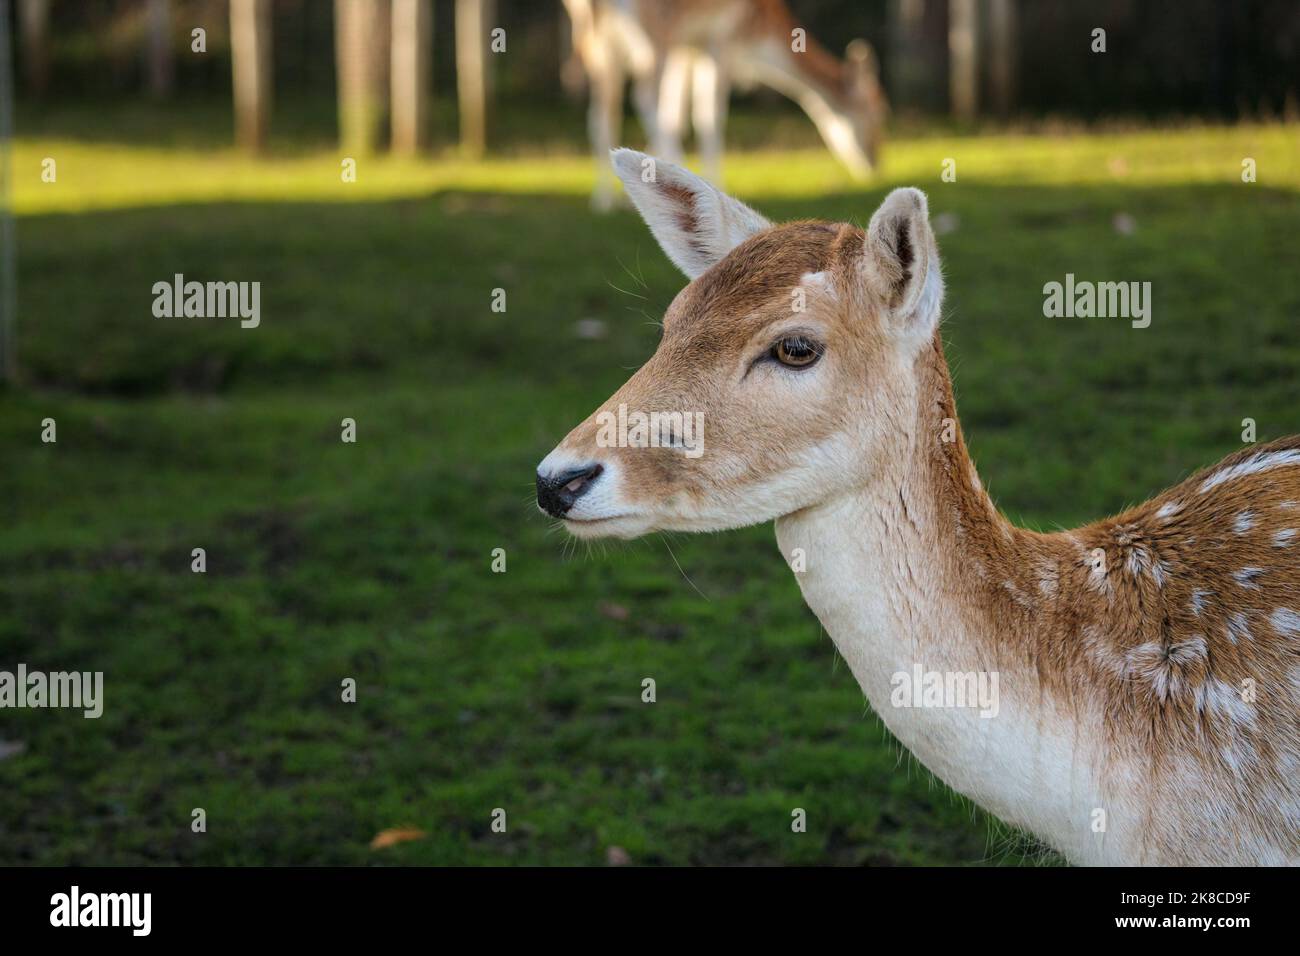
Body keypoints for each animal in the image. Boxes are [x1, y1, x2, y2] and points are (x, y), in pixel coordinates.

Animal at [562, 0, 888, 211]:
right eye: (876, 113)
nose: (875, 165)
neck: (758, 39)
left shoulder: (690, 46)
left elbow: (677, 111)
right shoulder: (721, 37)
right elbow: (708, 113)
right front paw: (711, 184)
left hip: (602, 38)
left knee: (602, 109)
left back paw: (605, 200)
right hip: (654, 26)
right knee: (643, 94)